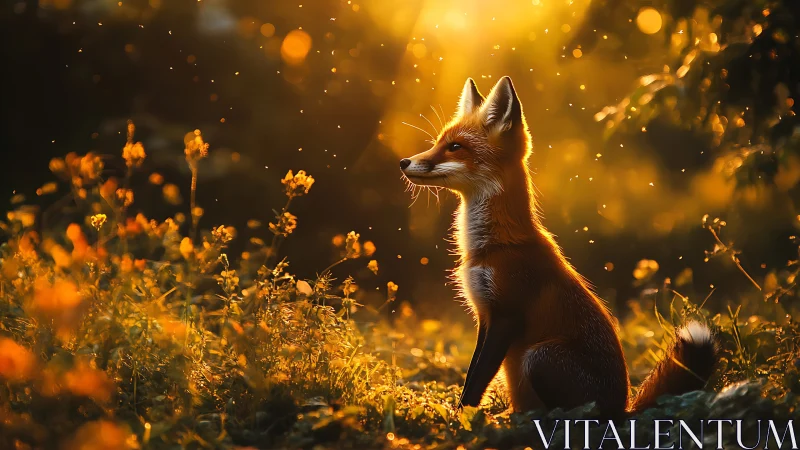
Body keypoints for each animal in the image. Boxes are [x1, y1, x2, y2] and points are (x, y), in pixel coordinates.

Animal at [399, 76, 719, 416]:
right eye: (438, 142)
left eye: (455, 147)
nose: (404, 162)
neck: (495, 245)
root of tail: (623, 408)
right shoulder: (484, 315)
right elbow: (471, 372)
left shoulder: (506, 316)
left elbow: (476, 382)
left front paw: (459, 418)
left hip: (539, 356)